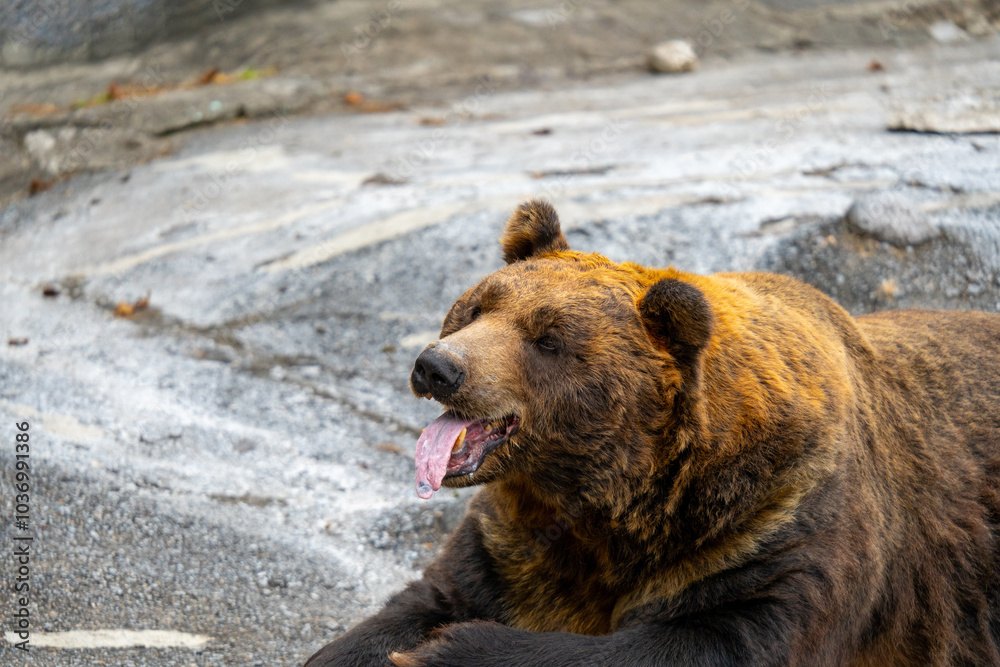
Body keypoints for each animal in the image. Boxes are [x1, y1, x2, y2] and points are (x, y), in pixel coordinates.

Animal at [305, 200, 1000, 666]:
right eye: (475, 308)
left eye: (548, 339)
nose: (437, 366)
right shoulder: (515, 538)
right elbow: (424, 600)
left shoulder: (778, 525)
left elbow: (712, 637)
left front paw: (443, 651)